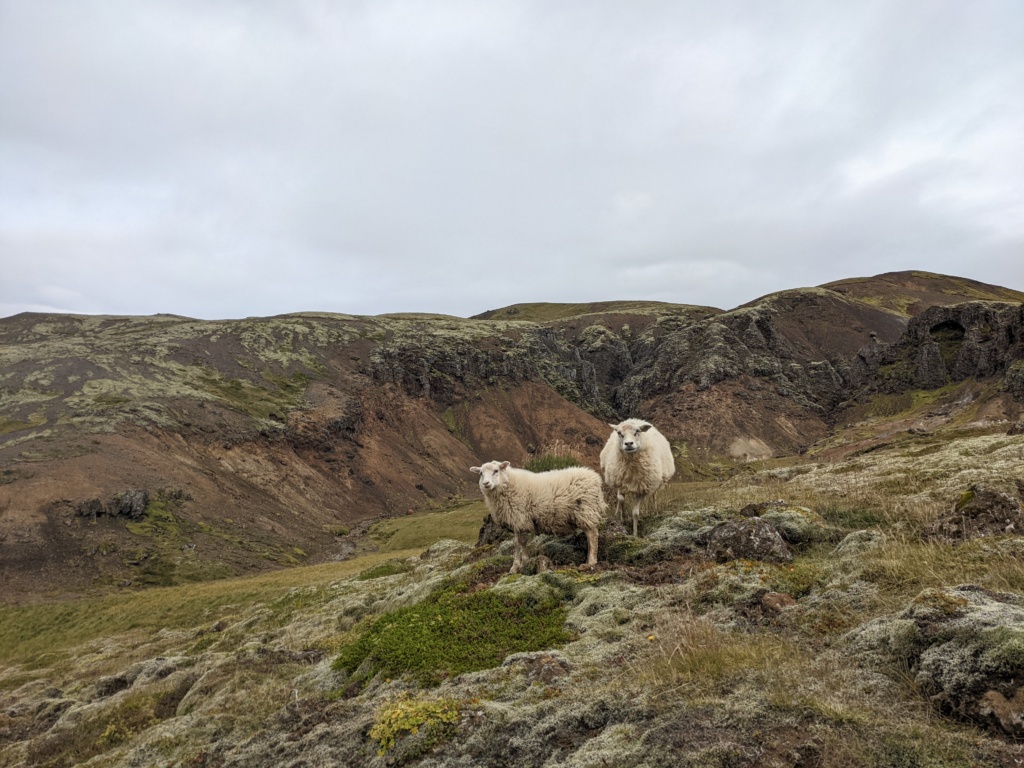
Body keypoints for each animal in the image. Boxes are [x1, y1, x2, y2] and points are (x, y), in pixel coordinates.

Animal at [470, 460, 605, 573]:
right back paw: (588, 560)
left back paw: (591, 562)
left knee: (592, 535)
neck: (508, 485)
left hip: (585, 510)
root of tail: (595, 478)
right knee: (590, 535)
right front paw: (522, 563)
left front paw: (518, 565)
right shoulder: (518, 522)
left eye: (496, 471)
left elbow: (519, 543)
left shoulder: (520, 519)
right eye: (481, 473)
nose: (486, 483)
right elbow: (520, 543)